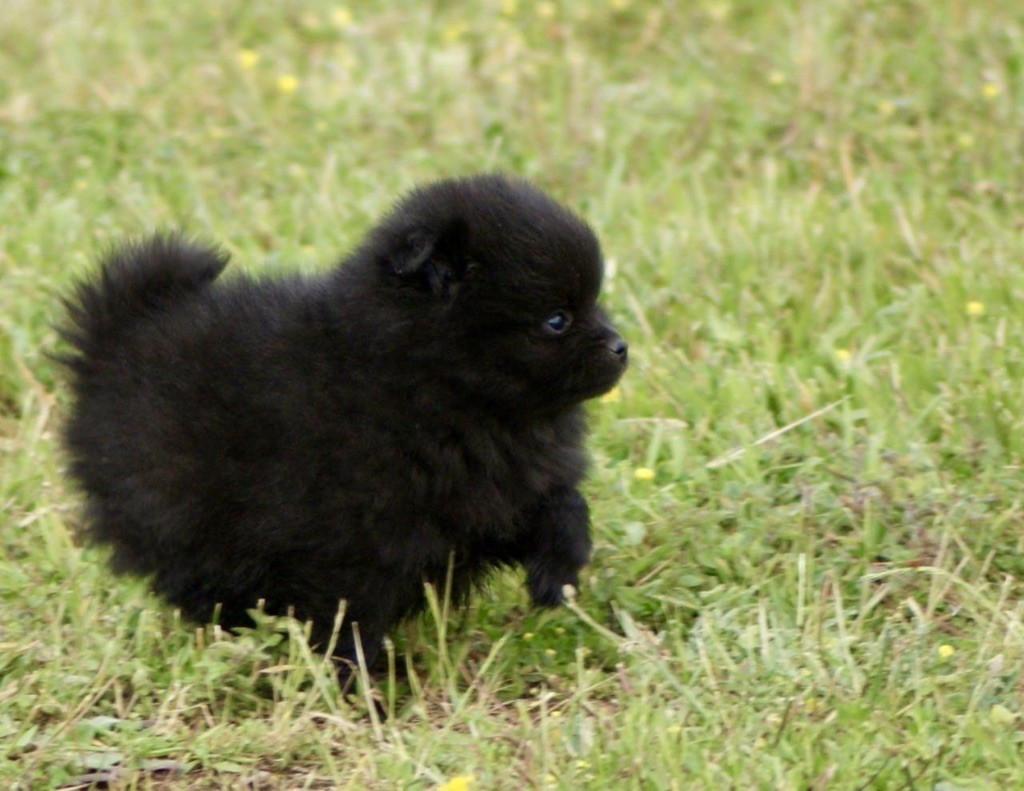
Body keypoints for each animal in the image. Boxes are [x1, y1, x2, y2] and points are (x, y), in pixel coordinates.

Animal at [61, 174, 630, 684]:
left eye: (592, 303)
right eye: (556, 320)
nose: (621, 346)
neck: (432, 386)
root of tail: (112, 343)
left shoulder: (492, 497)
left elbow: (559, 505)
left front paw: (558, 575)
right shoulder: (354, 540)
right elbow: (349, 615)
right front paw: (357, 686)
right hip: (182, 517)